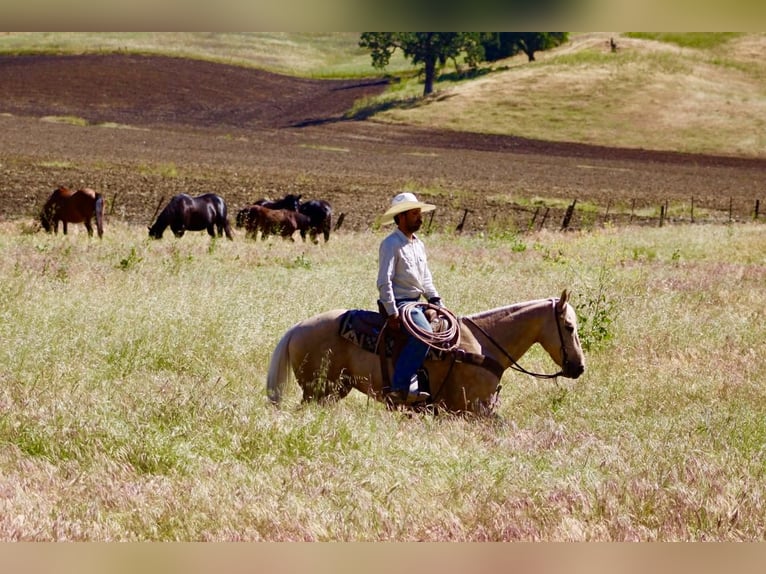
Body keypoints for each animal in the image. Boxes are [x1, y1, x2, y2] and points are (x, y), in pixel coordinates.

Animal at [267, 290, 585, 415]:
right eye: (569, 326)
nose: (579, 367)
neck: (483, 345)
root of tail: (297, 328)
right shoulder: (474, 409)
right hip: (318, 390)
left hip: (332, 391)